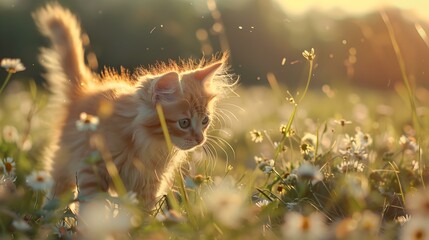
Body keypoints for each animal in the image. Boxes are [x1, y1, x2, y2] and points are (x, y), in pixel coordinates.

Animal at [32, 3, 234, 210]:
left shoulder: (148, 184)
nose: (200, 139)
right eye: (184, 123)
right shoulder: (92, 169)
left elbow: (141, 215)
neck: (149, 143)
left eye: (205, 121)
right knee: (56, 195)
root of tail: (84, 91)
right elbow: (92, 208)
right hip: (64, 164)